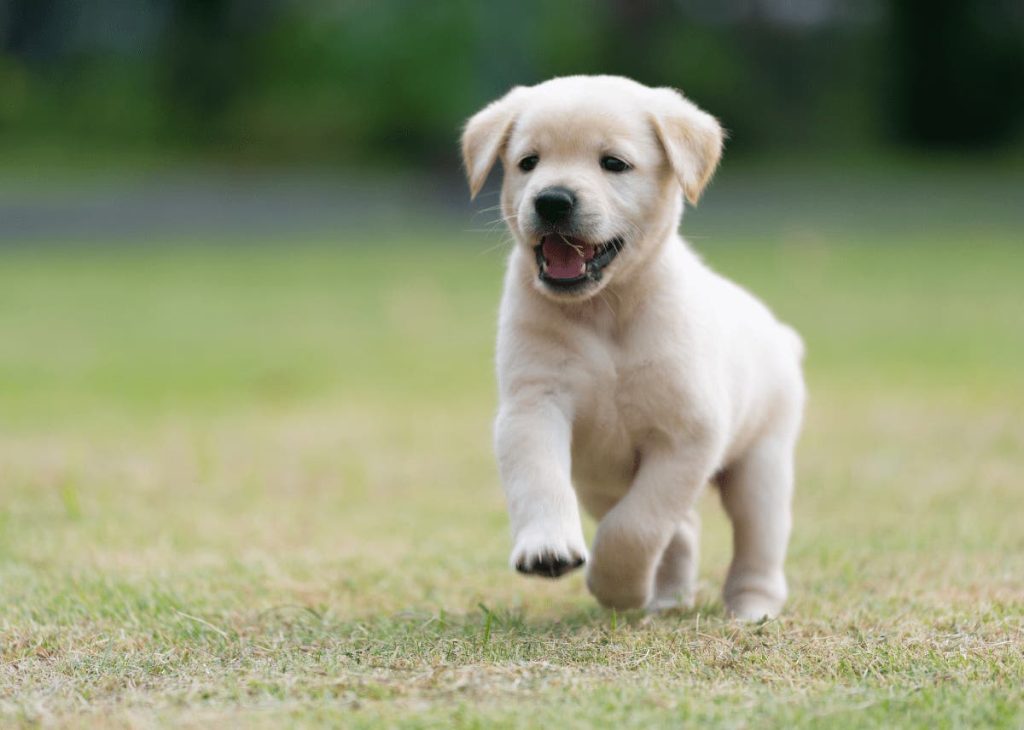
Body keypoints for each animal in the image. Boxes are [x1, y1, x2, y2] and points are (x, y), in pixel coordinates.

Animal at [460, 76, 802, 618]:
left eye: (614, 163)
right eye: (528, 162)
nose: (552, 200)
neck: (606, 311)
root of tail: (780, 334)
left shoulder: (687, 436)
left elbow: (637, 524)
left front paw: (616, 586)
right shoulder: (533, 405)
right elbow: (539, 478)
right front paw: (549, 548)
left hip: (763, 463)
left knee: (756, 542)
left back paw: (752, 608)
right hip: (598, 482)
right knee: (682, 530)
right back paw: (667, 597)